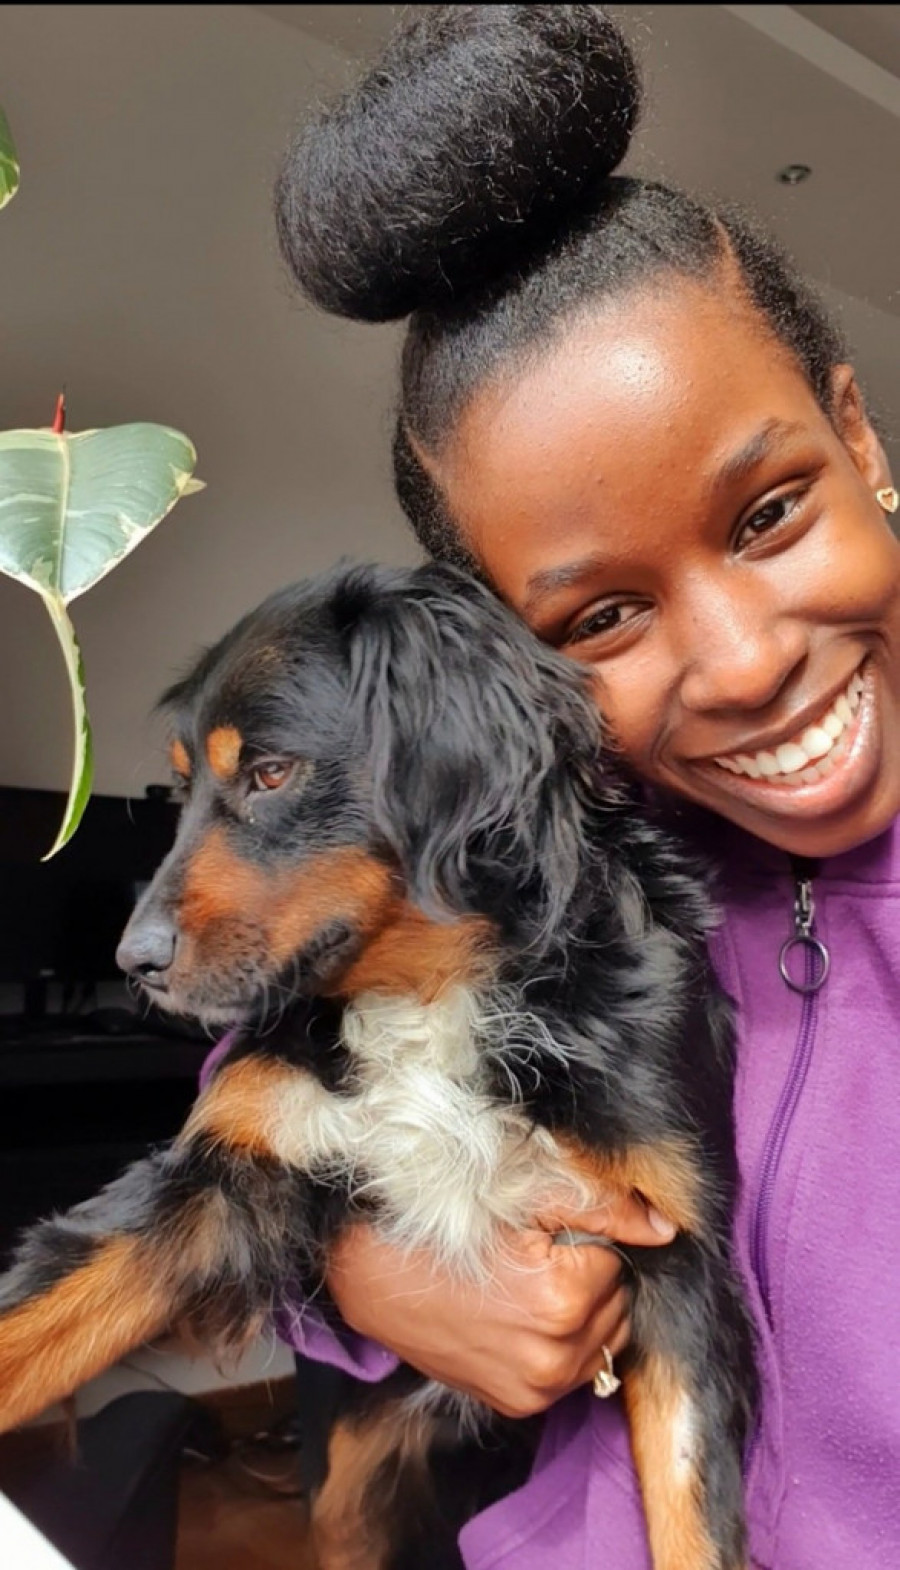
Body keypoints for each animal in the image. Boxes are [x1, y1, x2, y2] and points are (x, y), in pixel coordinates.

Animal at [0, 562, 756, 1569]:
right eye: (181, 787)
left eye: (271, 772)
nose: (134, 962)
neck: (429, 995)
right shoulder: (225, 1179)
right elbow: (33, 1318)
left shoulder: (679, 1255)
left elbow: (694, 1518)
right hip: (353, 1488)